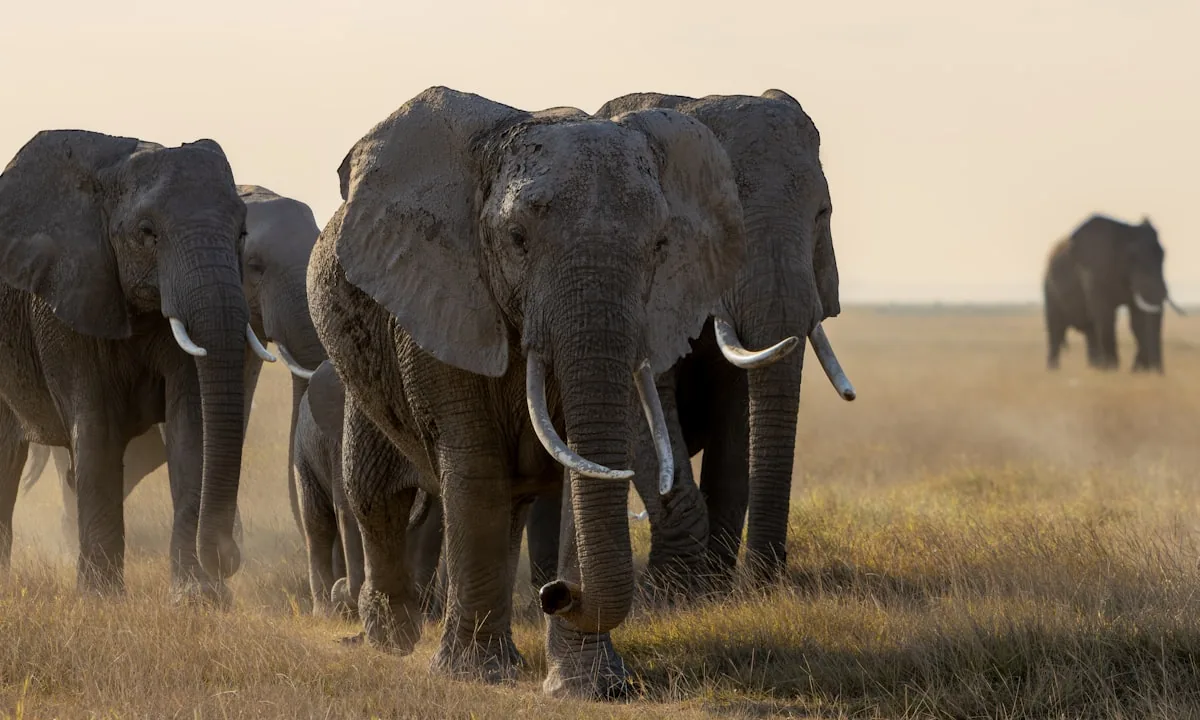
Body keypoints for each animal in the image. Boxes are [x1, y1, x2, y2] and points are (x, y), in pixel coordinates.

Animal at [0, 130, 263, 601]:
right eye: (147, 233)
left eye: (242, 232)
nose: (229, 559)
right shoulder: (68, 297)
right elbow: (97, 428)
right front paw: (101, 599)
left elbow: (191, 425)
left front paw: (199, 599)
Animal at [293, 360, 444, 619]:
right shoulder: (340, 443)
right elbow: (350, 509)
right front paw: (347, 594)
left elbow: (435, 519)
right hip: (303, 452)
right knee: (317, 523)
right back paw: (326, 612)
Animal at [524, 90, 857, 594]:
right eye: (733, 228)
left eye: (824, 215)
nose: (767, 580)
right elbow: (644, 412)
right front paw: (678, 590)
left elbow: (739, 413)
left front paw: (718, 587)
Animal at [1044, 214, 1184, 372]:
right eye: (1132, 257)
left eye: (1163, 255)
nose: (1158, 373)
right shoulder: (1094, 272)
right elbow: (1106, 315)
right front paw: (1111, 370)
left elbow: (1137, 318)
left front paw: (1137, 371)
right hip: (1049, 289)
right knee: (1056, 331)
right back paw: (1054, 370)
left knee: (1090, 331)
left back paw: (1095, 367)